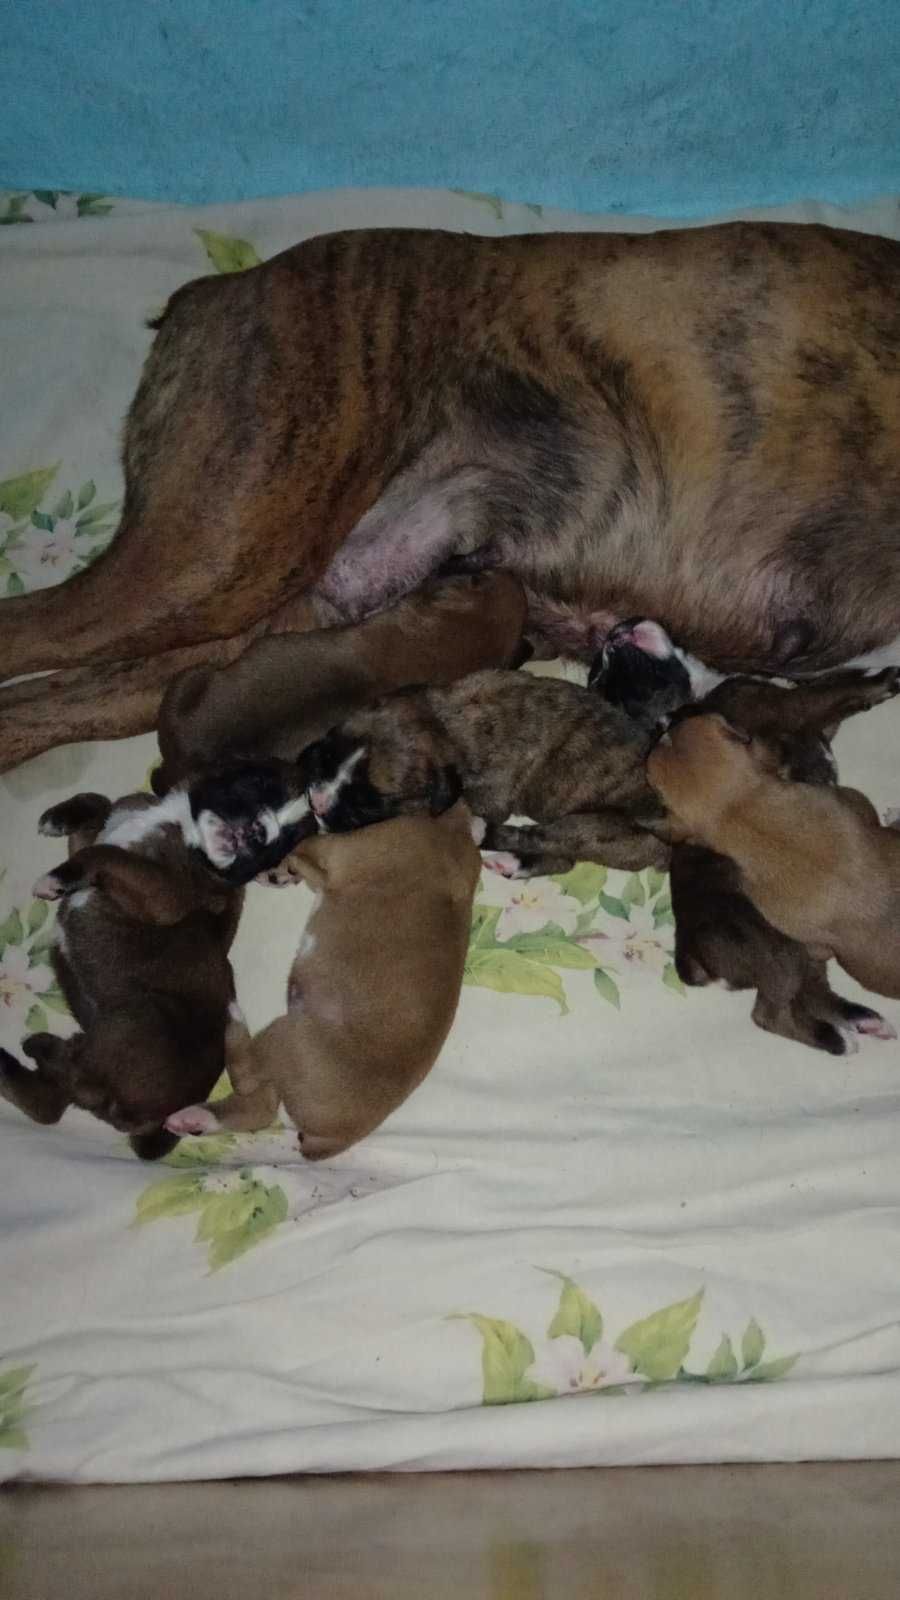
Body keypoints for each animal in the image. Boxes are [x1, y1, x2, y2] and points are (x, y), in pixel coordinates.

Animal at [0, 791, 243, 1158]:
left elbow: (105, 852)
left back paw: (37, 1047)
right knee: (51, 1100)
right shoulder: (99, 843)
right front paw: (60, 818)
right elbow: (97, 810)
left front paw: (53, 878)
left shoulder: (164, 892)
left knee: (58, 1096)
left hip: (136, 1016)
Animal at [165, 804, 481, 1161]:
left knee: (247, 1080)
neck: (454, 831)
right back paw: (195, 1118)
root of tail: (336, 1137)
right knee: (258, 1107)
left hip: (285, 1037)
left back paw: (232, 1015)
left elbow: (302, 845)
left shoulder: (330, 852)